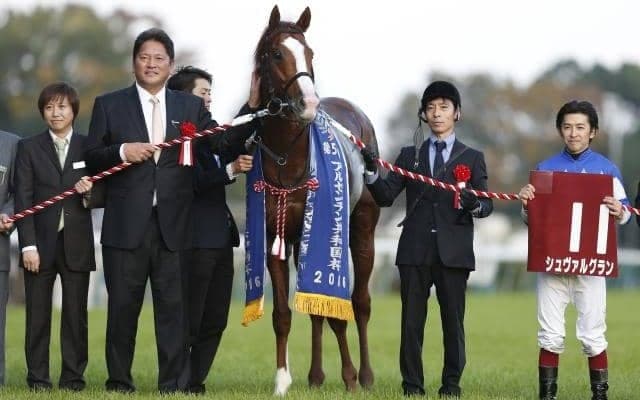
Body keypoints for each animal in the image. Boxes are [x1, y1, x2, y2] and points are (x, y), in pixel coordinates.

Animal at [248, 5, 380, 396]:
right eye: (276, 53)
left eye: (310, 53)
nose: (307, 103)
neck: (287, 158)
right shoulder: (273, 235)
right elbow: (283, 314)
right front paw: (282, 381)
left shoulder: (325, 230)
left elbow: (336, 310)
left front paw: (350, 377)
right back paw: (316, 375)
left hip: (362, 227)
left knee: (361, 302)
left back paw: (366, 376)